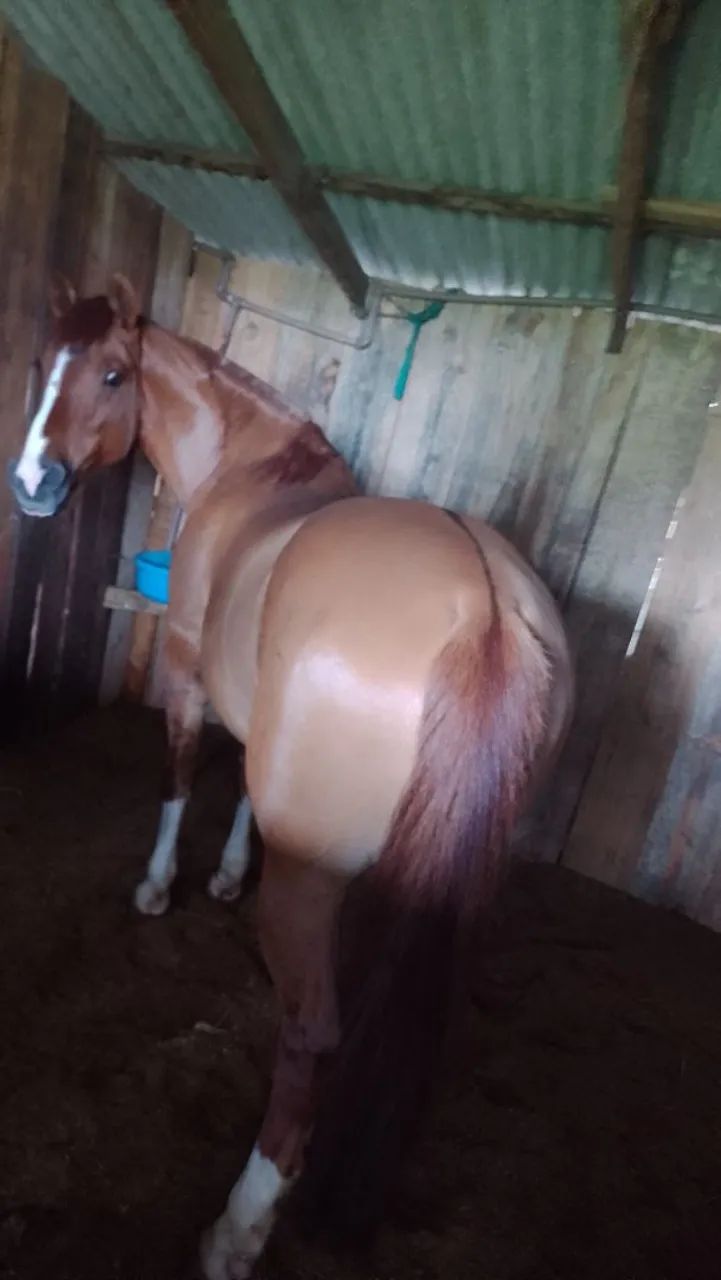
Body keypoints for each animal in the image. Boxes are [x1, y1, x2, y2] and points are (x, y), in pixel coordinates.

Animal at [8, 273, 573, 1279]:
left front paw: (160, 887)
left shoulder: (191, 673)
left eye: (112, 374)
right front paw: (229, 874)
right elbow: (242, 791)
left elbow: (181, 777)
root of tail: (485, 614)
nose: (32, 485)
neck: (254, 472)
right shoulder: (252, 710)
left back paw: (237, 1227)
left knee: (309, 1038)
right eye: (46, 363)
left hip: (312, 887)